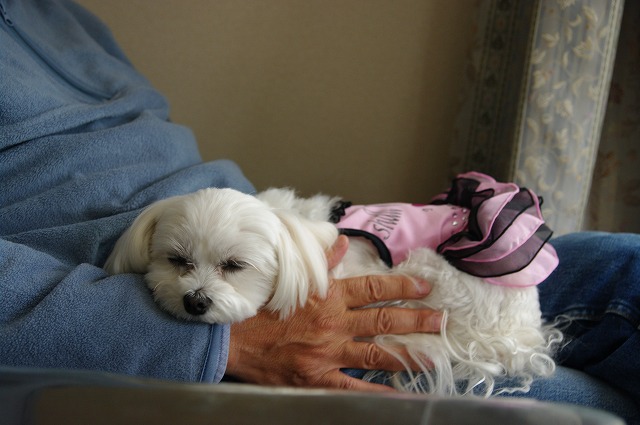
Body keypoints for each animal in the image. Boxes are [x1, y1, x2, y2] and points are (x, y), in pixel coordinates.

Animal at [105, 172, 562, 397]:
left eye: (234, 266)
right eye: (177, 261)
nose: (195, 301)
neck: (298, 235)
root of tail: (521, 332)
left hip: (428, 270)